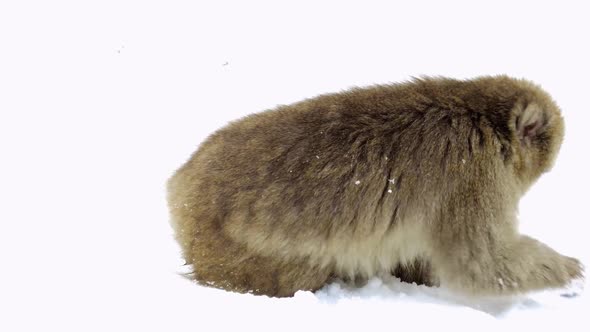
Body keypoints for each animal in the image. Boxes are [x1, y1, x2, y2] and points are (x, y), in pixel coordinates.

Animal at [166, 76, 584, 298]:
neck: (482, 121)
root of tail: (180, 180)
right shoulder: (474, 175)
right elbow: (481, 262)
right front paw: (567, 269)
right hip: (225, 246)